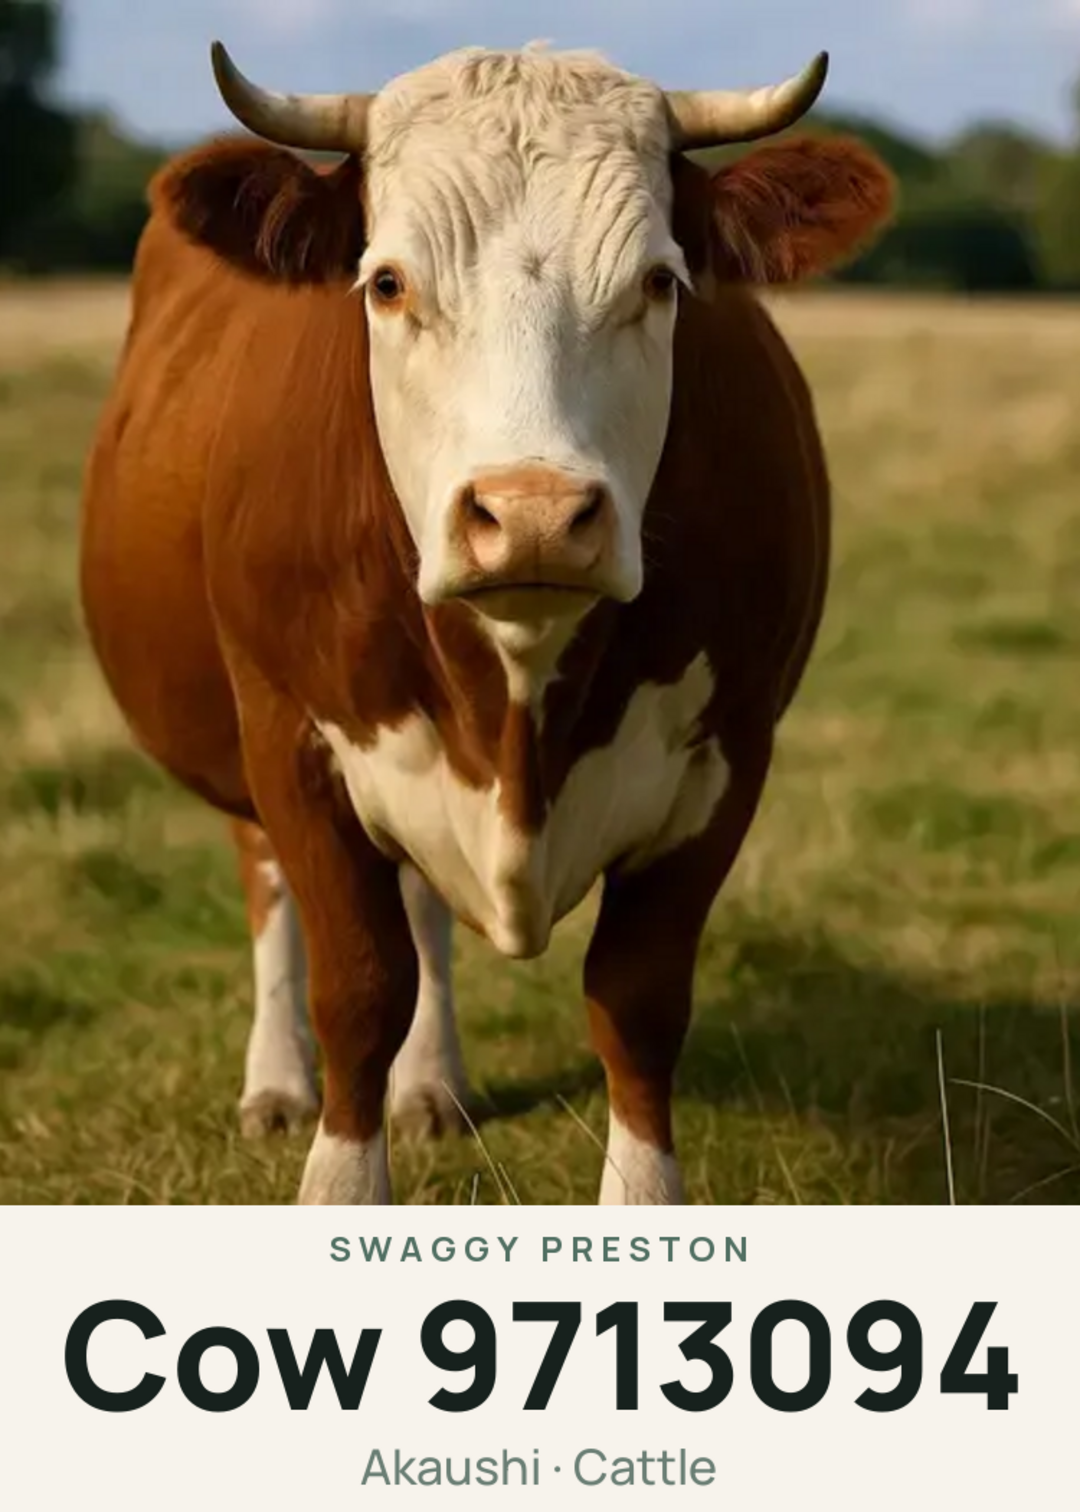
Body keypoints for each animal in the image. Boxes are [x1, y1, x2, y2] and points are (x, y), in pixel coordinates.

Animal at [79, 39, 894, 1205]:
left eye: (659, 281)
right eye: (387, 282)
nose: (534, 516)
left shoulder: (729, 757)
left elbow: (637, 1002)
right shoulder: (289, 737)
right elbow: (358, 989)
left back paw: (431, 1086)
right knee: (269, 884)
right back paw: (275, 1082)